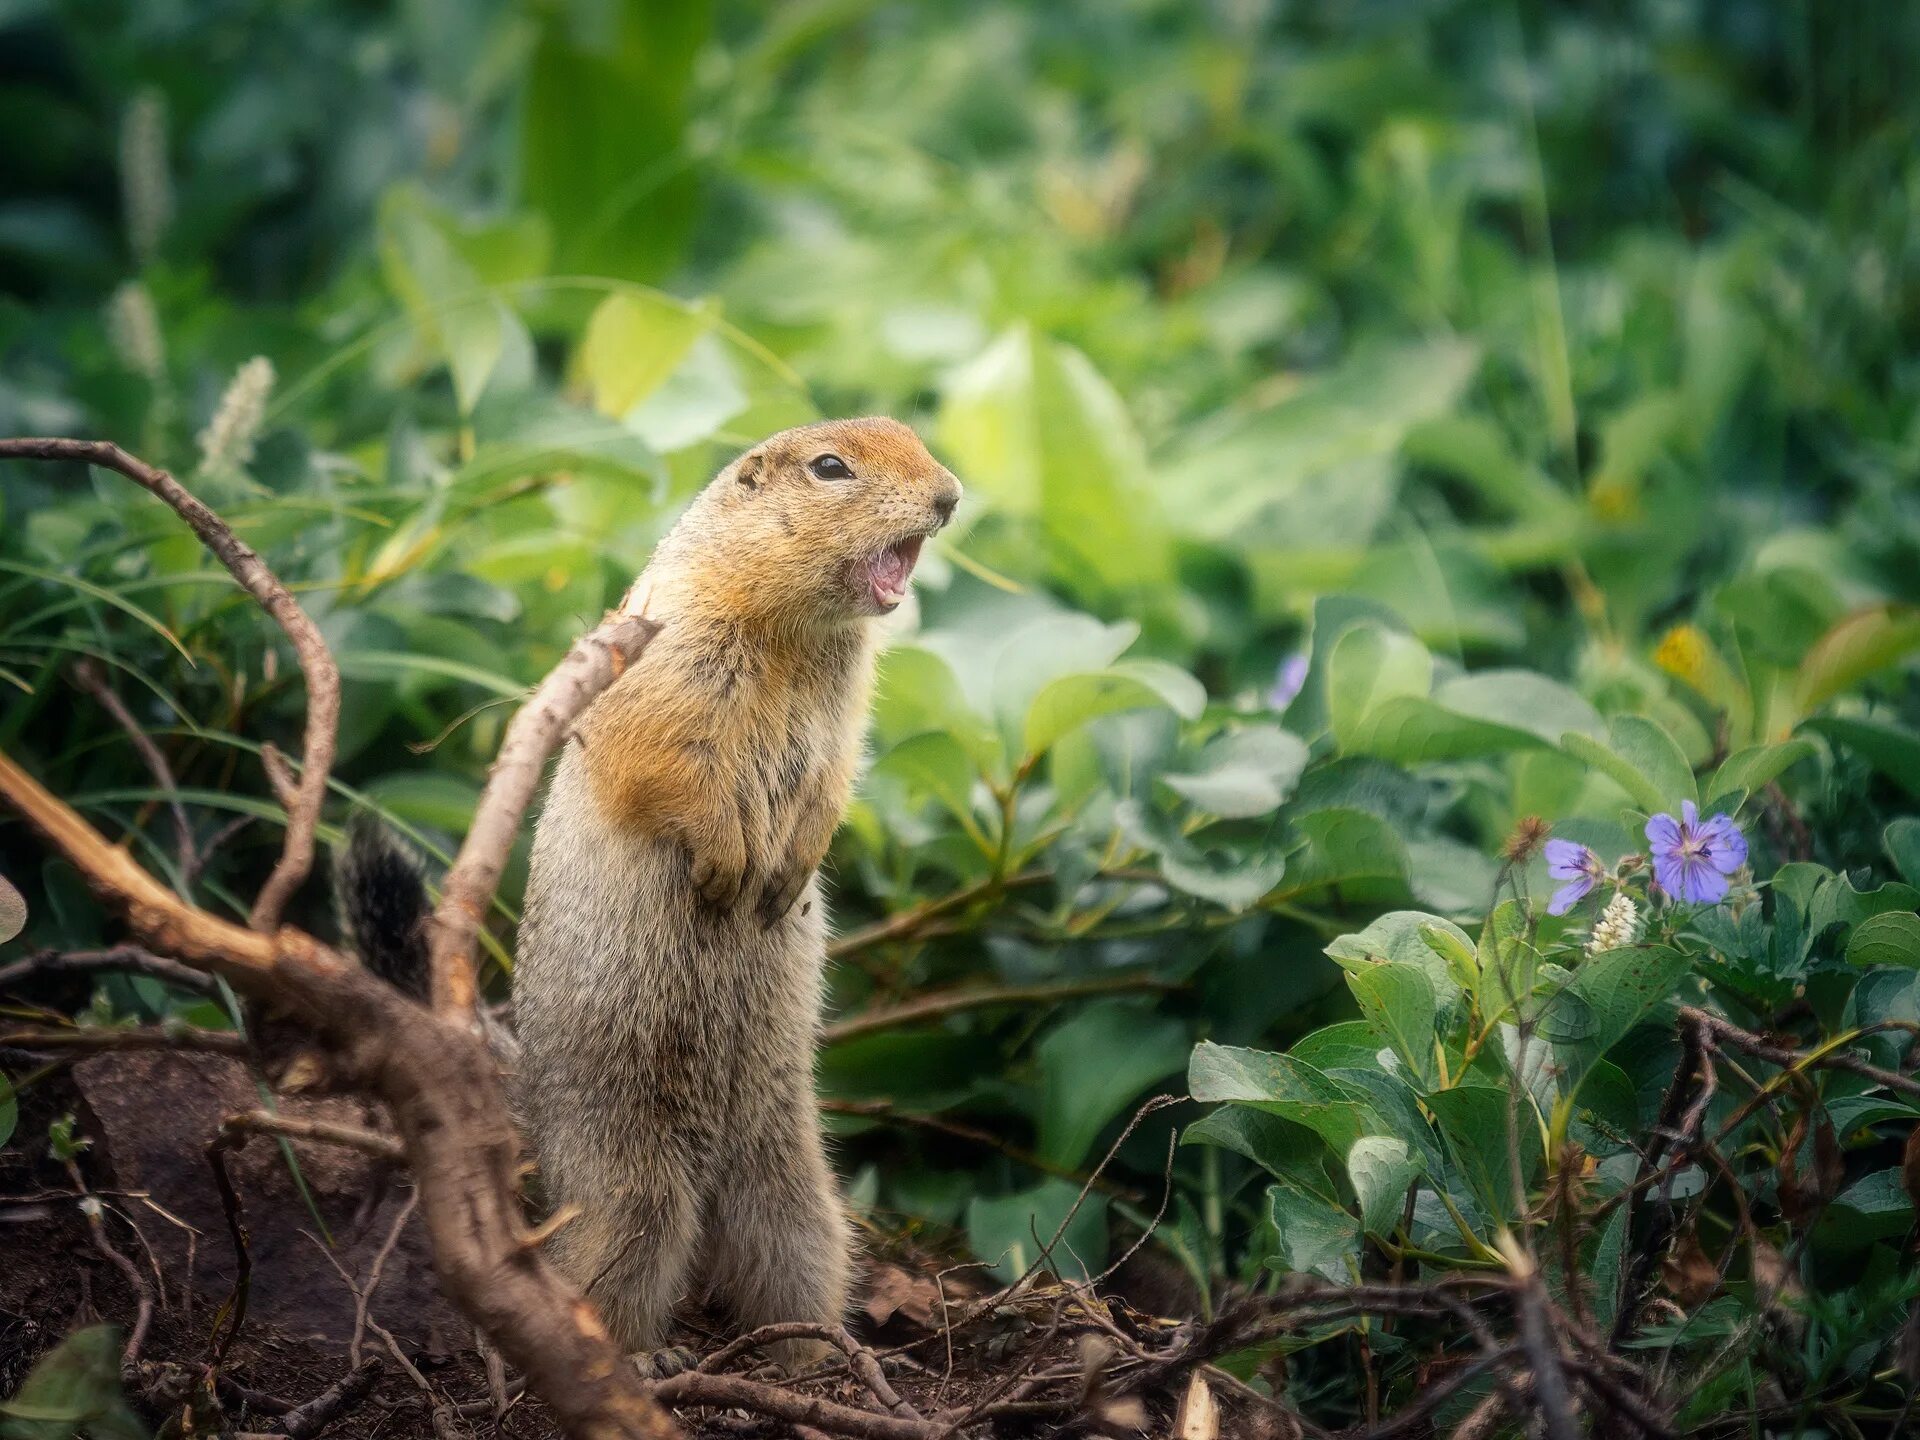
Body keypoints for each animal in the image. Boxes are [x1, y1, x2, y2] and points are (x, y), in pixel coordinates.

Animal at [510, 420, 960, 1374]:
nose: (950, 496)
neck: (797, 632)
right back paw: (646, 1359)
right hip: (625, 1183)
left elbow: (832, 779)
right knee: (606, 1264)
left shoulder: (844, 710)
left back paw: (817, 1356)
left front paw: (787, 876)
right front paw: (727, 869)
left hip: (794, 1186)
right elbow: (675, 763)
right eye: (831, 467)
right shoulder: (674, 652)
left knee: (789, 1254)